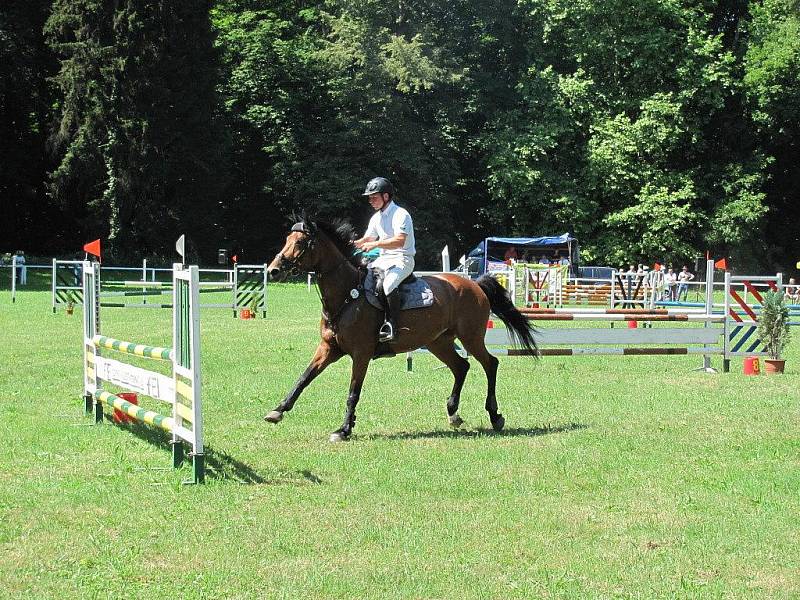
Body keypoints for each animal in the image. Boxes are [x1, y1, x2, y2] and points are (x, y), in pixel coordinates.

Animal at [264, 218, 536, 442]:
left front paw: (344, 430)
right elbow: (303, 378)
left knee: (490, 364)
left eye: (300, 242)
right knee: (461, 366)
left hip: (471, 338)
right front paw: (277, 411)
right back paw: (453, 413)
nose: (273, 270)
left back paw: (495, 415)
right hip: (438, 342)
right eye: (287, 240)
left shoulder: (361, 354)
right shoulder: (328, 349)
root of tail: (475, 284)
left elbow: (353, 392)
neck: (347, 295)